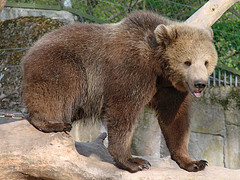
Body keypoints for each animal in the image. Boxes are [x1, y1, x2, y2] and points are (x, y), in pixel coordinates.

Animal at [21, 10, 218, 173]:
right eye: (187, 62)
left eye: (206, 62)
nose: (200, 84)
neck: (159, 67)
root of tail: (32, 47)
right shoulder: (131, 71)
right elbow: (123, 111)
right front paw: (135, 161)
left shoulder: (169, 89)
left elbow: (175, 120)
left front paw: (194, 162)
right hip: (63, 63)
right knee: (59, 89)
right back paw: (52, 123)